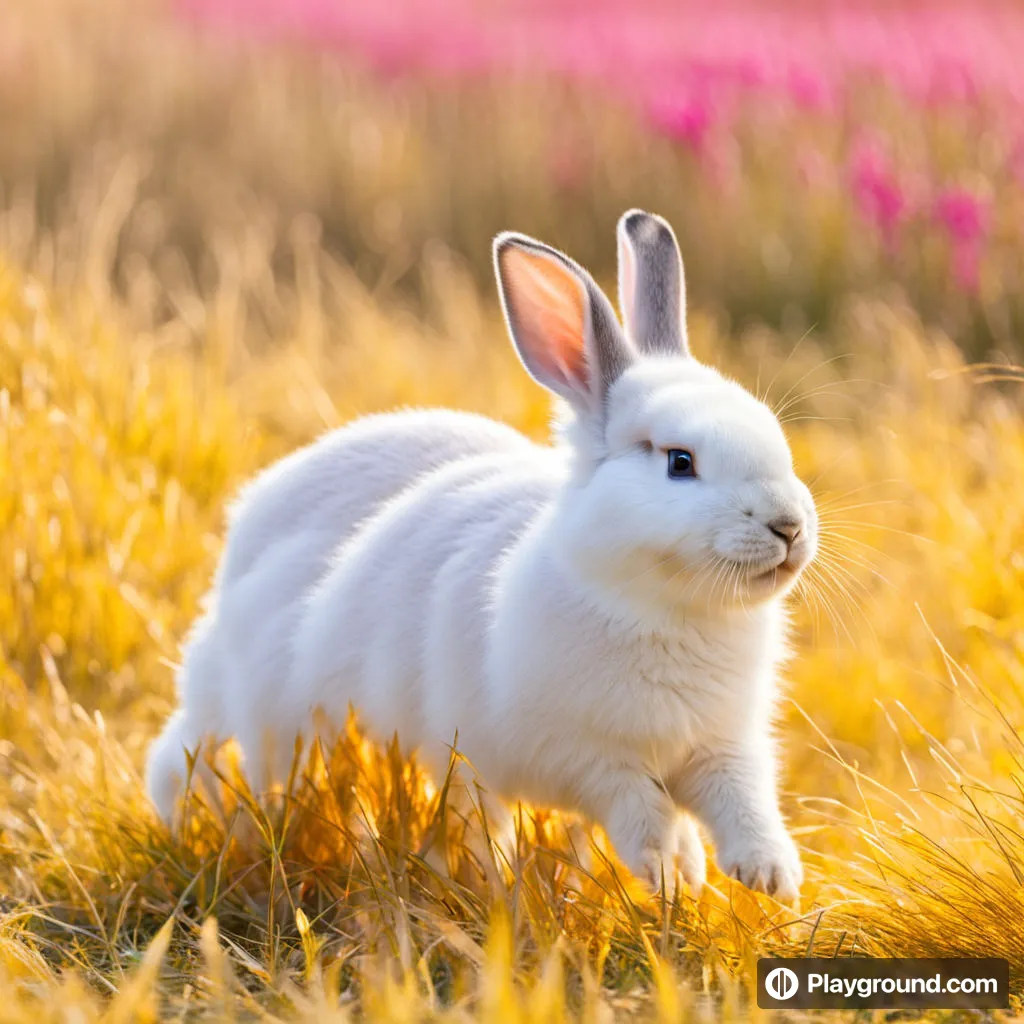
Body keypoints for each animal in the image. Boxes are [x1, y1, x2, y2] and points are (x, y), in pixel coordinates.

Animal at [146, 211, 815, 901]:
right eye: (680, 462)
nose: (789, 527)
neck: (665, 609)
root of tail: (253, 514)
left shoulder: (725, 746)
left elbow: (744, 804)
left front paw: (769, 876)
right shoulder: (586, 757)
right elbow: (640, 811)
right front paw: (672, 873)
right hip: (267, 710)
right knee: (192, 754)